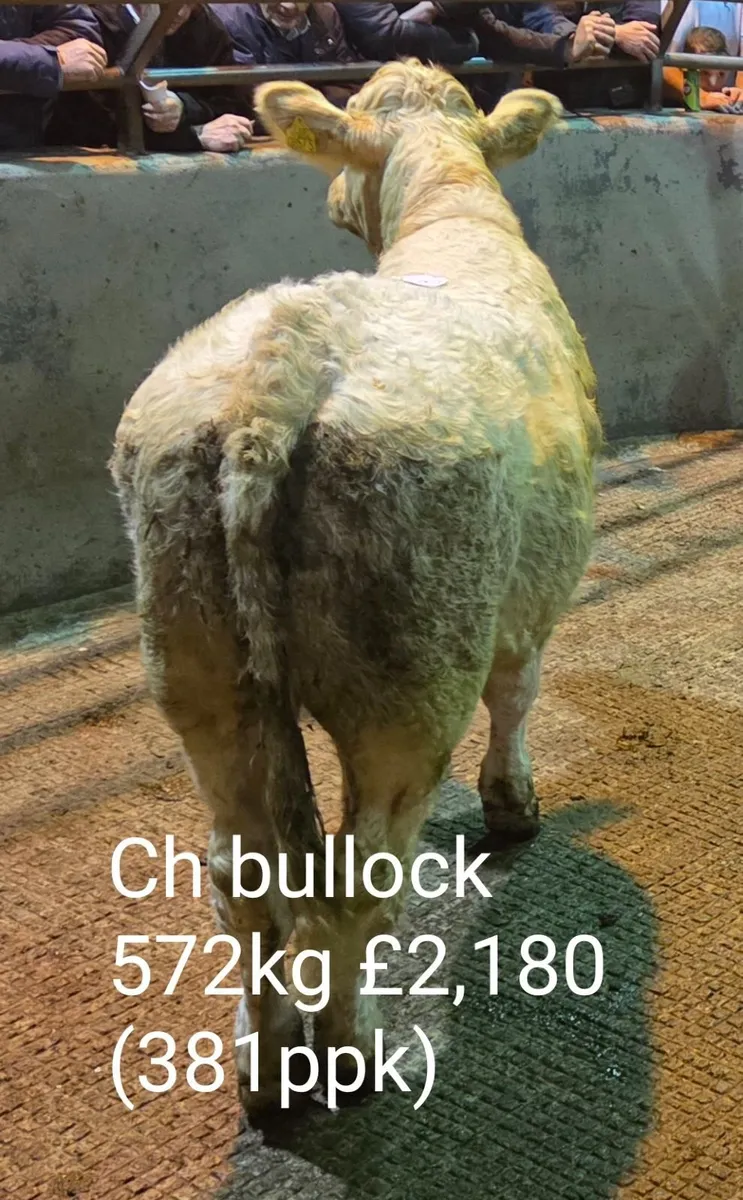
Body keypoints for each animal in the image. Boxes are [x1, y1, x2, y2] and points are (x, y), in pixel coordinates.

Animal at [110, 61, 602, 1117]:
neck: (452, 213)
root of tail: (288, 356)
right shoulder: (530, 592)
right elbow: (518, 693)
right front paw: (513, 804)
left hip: (196, 661)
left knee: (243, 875)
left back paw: (264, 1062)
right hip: (409, 677)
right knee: (361, 874)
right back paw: (350, 1050)